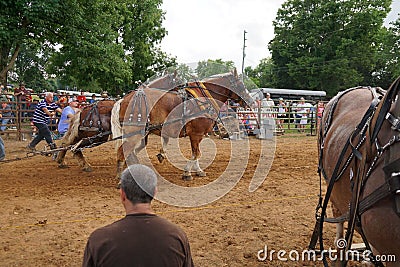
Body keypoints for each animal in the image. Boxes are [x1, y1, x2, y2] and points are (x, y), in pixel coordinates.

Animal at [111, 69, 250, 180]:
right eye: (241, 85)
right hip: (134, 132)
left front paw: (198, 170)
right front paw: (187, 172)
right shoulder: (196, 134)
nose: (250, 101)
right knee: (122, 152)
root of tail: (124, 99)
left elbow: (196, 153)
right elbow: (196, 153)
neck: (204, 99)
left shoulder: (197, 135)